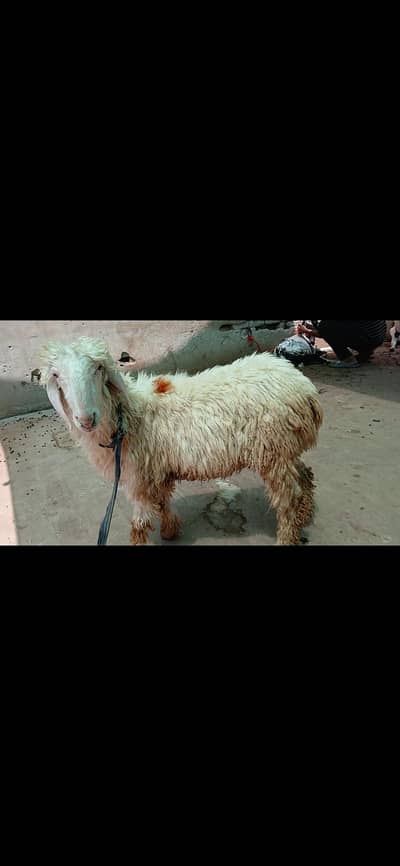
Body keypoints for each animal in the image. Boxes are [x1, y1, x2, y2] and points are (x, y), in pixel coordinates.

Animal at [40, 336, 323, 545]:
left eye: (98, 369)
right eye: (56, 375)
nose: (86, 419)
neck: (127, 416)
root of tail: (304, 388)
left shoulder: (138, 476)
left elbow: (140, 522)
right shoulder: (157, 471)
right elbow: (163, 501)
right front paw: (170, 530)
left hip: (273, 451)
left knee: (288, 498)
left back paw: (287, 535)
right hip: (283, 450)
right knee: (304, 475)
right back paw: (305, 513)